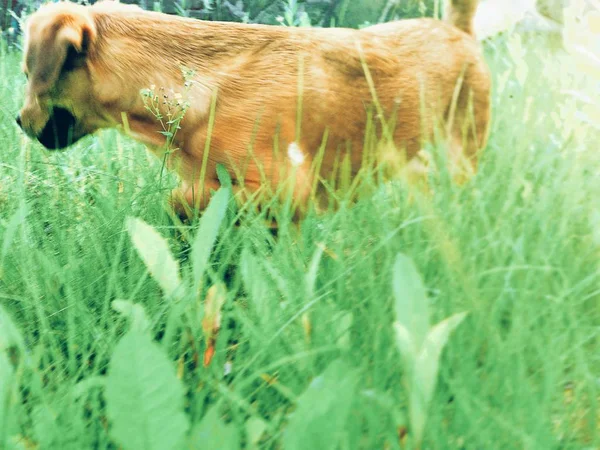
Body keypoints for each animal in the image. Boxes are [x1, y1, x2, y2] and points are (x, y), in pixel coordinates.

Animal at [16, 0, 490, 216]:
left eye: (26, 73)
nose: (18, 121)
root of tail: (457, 30)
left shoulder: (283, 188)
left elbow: (183, 197)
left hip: (461, 156)